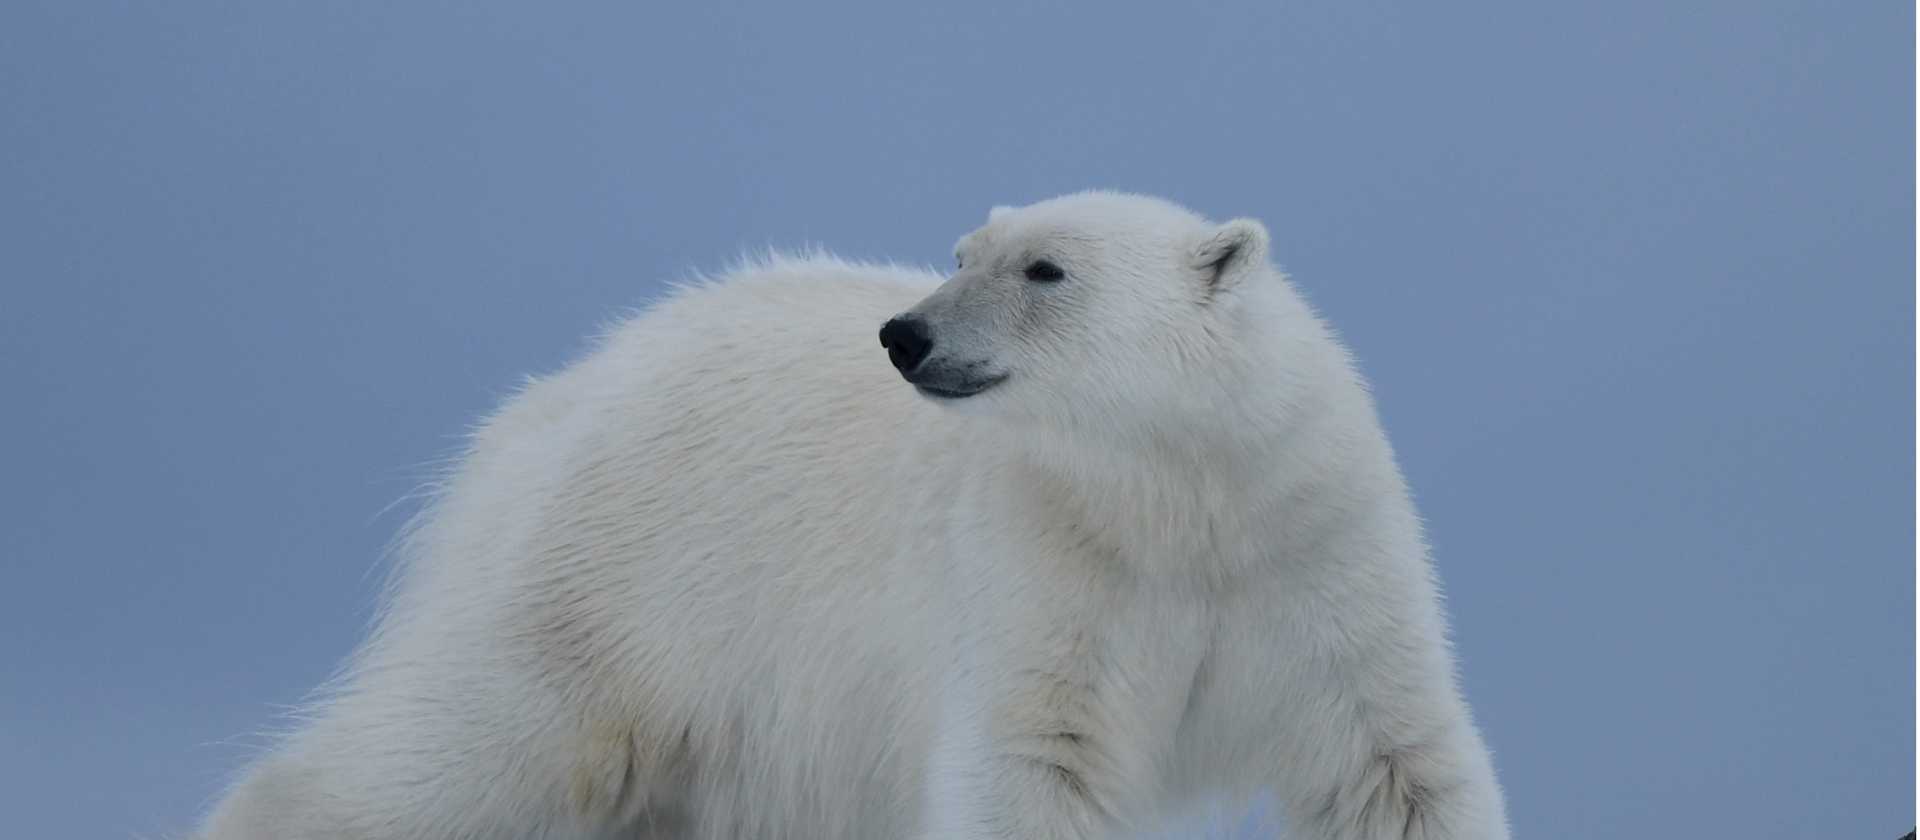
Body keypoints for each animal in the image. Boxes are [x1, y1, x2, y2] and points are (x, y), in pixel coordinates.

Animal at [198, 191, 1509, 840]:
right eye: (963, 248)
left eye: (1045, 268)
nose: (906, 333)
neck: (1176, 502)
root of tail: (544, 404)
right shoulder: (1044, 562)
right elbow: (1033, 757)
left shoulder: (1313, 550)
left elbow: (1394, 766)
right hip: (629, 577)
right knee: (460, 743)